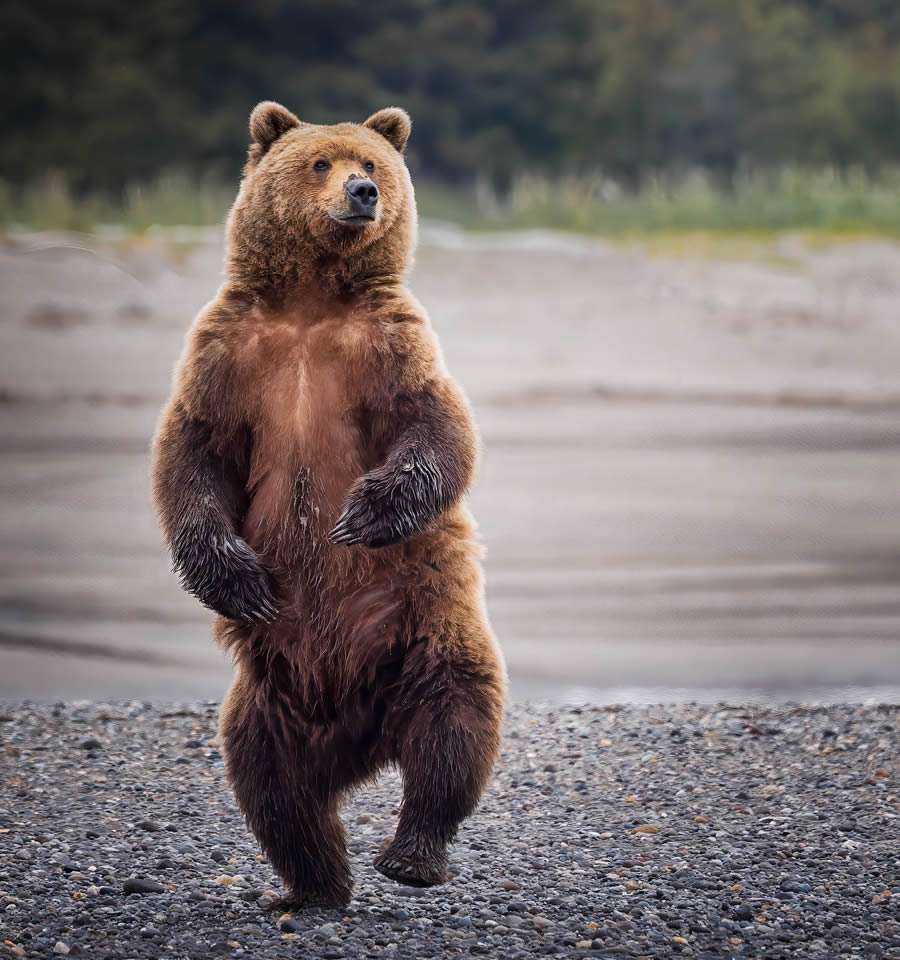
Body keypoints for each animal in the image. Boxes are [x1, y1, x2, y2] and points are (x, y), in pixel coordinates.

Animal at [151, 103, 510, 908]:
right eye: (320, 162)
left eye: (370, 163)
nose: (361, 192)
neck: (311, 304)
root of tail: (358, 735)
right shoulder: (227, 354)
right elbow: (193, 454)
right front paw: (235, 577)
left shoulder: (388, 345)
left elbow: (437, 425)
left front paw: (363, 515)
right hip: (269, 701)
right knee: (271, 785)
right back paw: (311, 884)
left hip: (424, 633)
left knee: (453, 726)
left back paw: (411, 855)